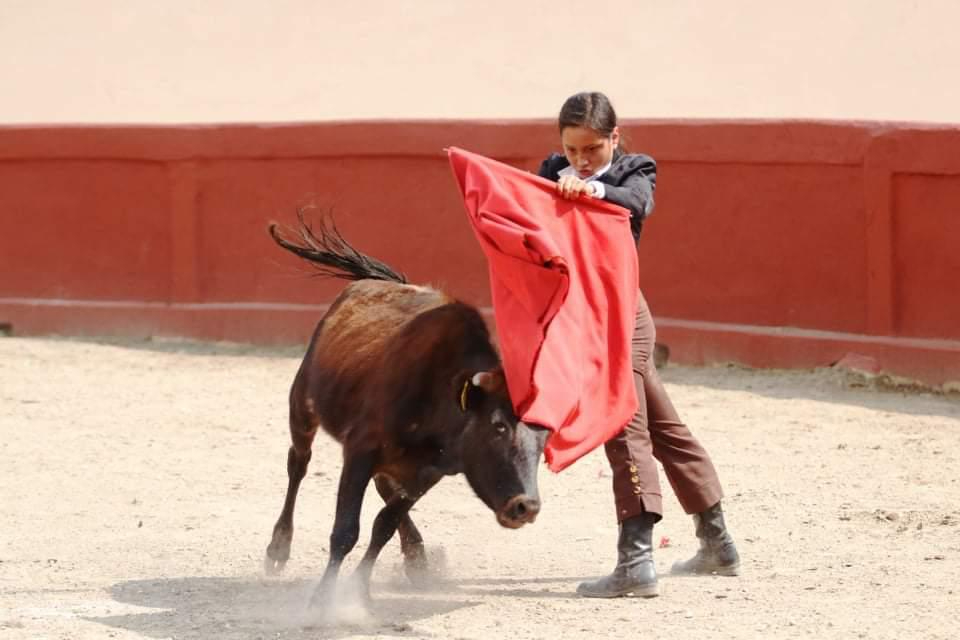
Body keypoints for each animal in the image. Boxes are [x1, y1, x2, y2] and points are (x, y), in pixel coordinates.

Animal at [264, 215, 548, 604]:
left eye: (544, 437)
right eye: (498, 426)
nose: (527, 506)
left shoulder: (429, 472)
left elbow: (383, 524)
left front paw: (360, 590)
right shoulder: (360, 450)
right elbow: (346, 530)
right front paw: (323, 599)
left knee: (383, 487)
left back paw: (416, 558)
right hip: (302, 405)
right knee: (298, 464)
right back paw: (278, 548)